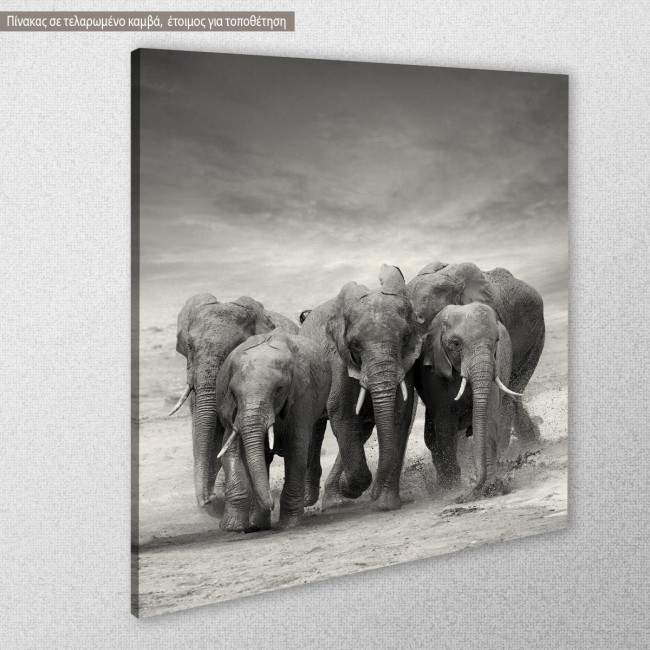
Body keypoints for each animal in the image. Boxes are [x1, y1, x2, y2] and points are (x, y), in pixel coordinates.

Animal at [214, 330, 331, 531]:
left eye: (278, 390)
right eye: (234, 393)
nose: (272, 504)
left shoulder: (302, 394)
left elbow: (297, 447)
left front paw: (289, 524)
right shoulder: (229, 406)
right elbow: (230, 447)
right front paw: (233, 527)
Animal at [300, 265, 421, 512]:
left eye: (405, 338)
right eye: (355, 345)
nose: (373, 496)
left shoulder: (407, 363)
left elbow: (399, 413)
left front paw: (386, 504)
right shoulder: (338, 360)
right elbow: (341, 411)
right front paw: (351, 487)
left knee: (361, 429)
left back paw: (335, 499)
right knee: (315, 427)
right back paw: (311, 499)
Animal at [417, 302, 522, 497]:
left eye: (496, 341)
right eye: (456, 344)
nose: (472, 487)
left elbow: (488, 418)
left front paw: (492, 487)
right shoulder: (435, 372)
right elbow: (445, 425)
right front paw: (452, 489)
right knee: (432, 437)